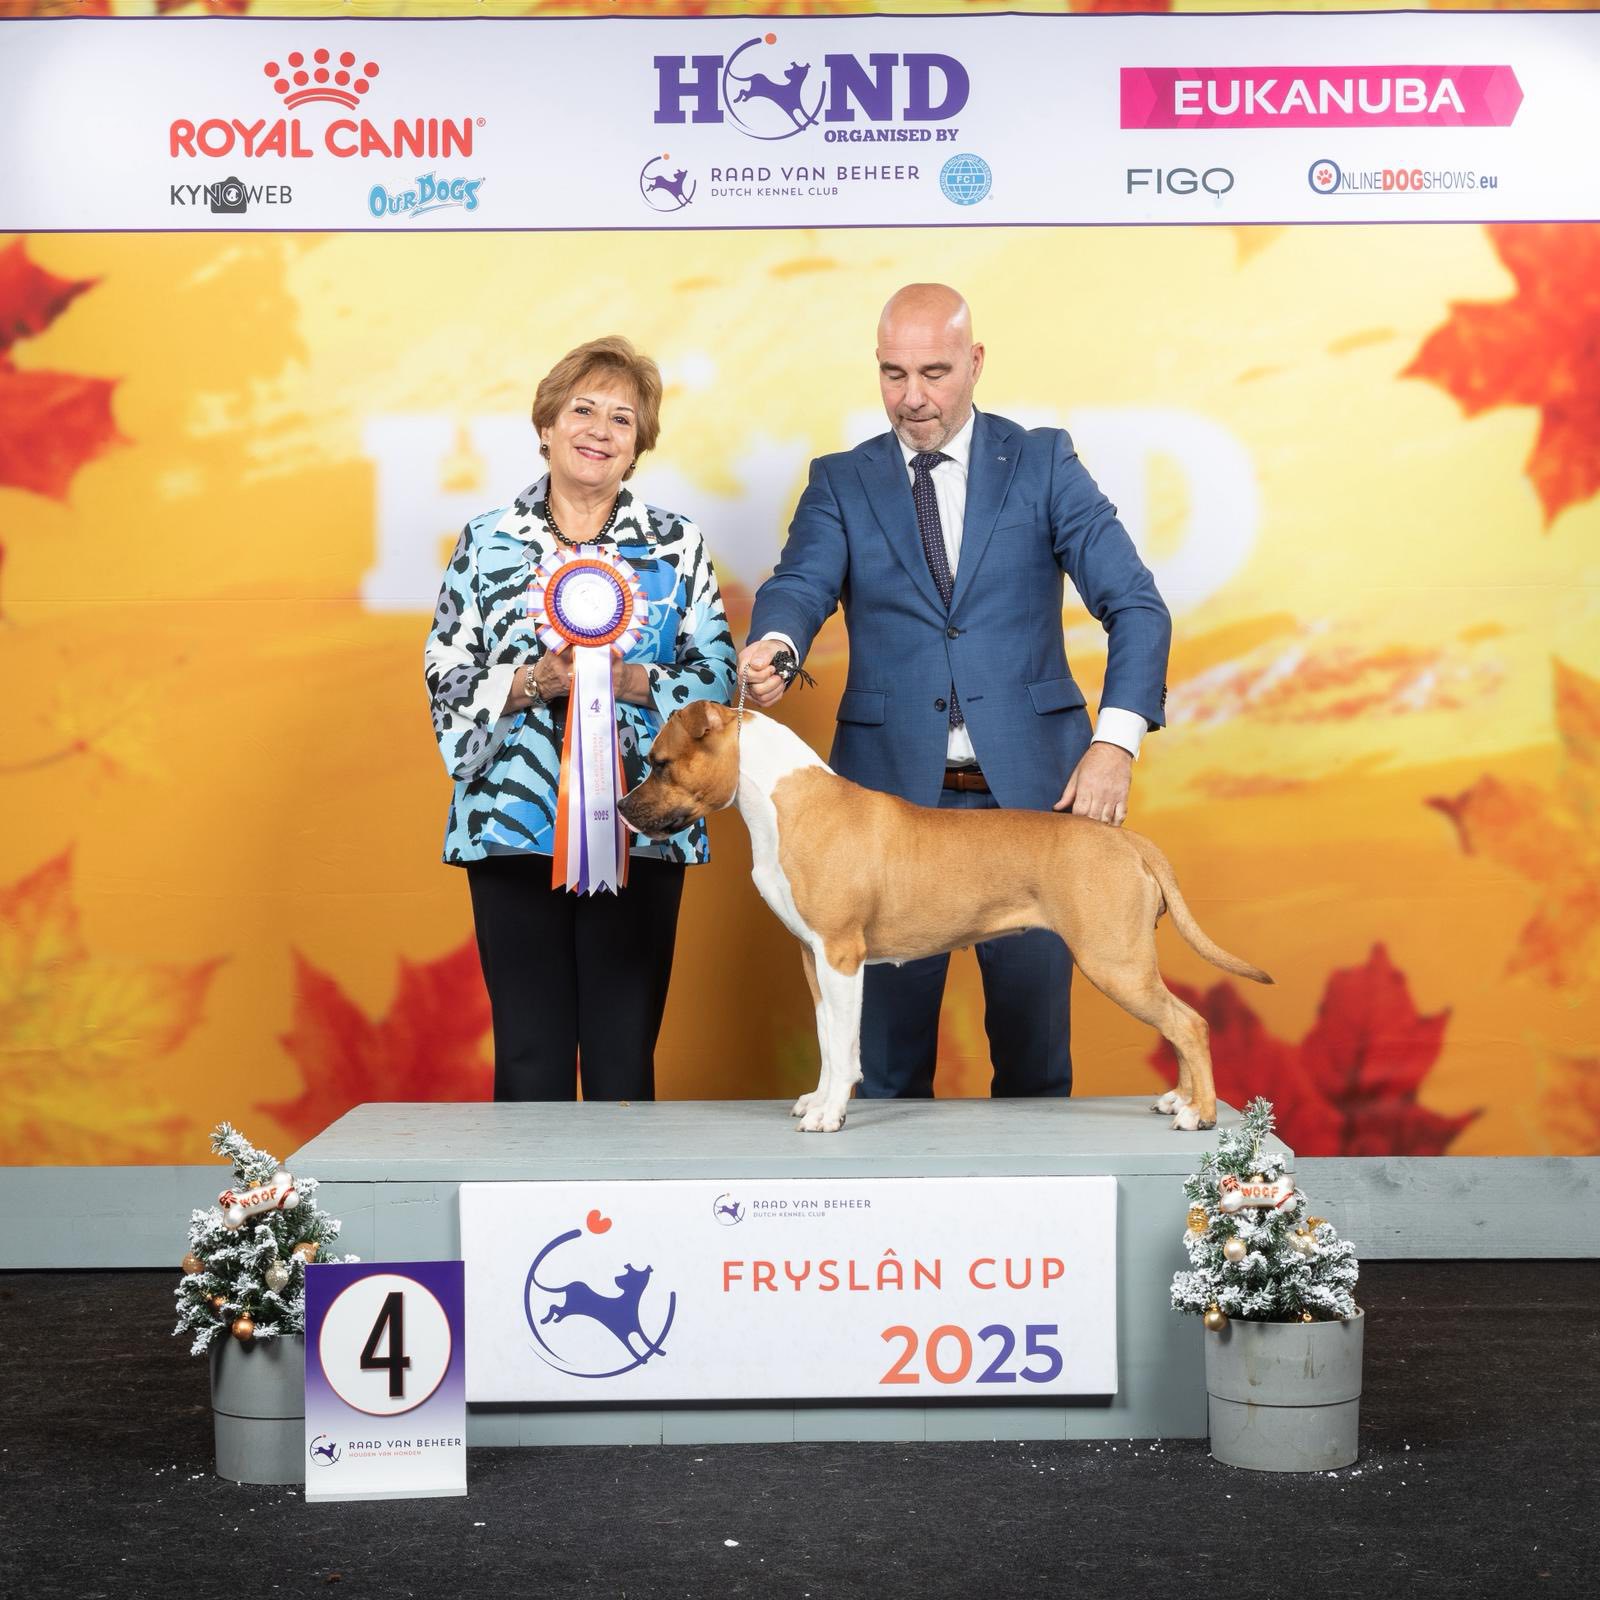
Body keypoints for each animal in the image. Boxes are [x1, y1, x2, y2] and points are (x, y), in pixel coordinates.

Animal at [618, 702, 1272, 1134]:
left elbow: (845, 1047)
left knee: (1189, 1024)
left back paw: (1199, 1114)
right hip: (1129, 965)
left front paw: (830, 1114)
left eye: (660, 762)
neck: (785, 802)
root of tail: (1130, 842)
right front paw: (818, 1099)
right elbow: (829, 1040)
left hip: (1116, 963)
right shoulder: (815, 958)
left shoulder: (841, 956)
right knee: (1177, 1024)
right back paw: (1179, 1100)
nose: (622, 808)